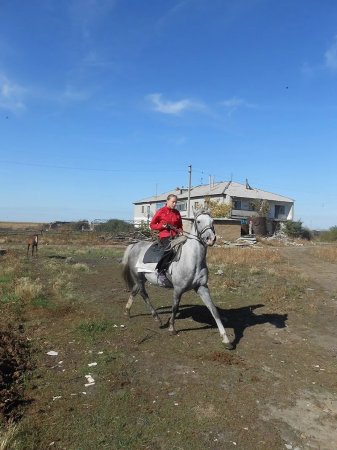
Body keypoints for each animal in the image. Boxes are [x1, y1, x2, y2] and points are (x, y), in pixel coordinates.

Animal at [122, 209, 232, 350]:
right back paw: (157, 319)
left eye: (212, 221)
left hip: (142, 278)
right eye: (198, 221)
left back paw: (127, 312)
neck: (192, 260)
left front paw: (226, 340)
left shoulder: (202, 287)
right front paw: (172, 328)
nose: (210, 239)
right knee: (143, 294)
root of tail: (135, 245)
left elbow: (214, 310)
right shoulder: (178, 289)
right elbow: (175, 307)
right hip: (139, 278)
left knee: (135, 291)